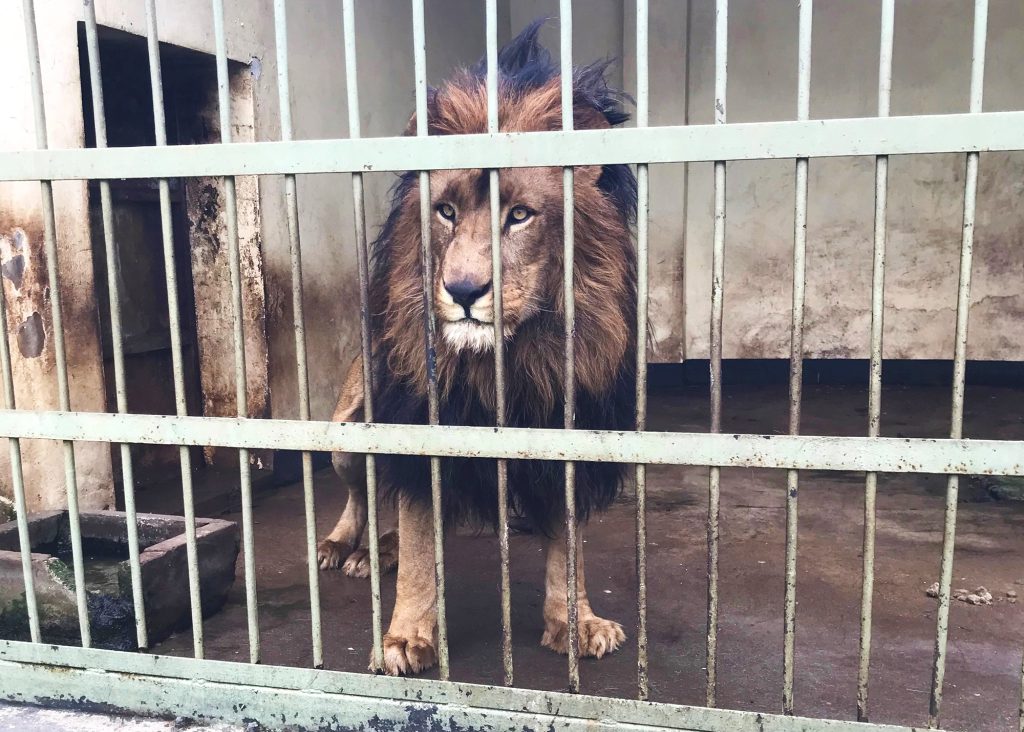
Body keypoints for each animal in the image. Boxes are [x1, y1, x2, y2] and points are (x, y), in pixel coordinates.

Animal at [319, 21, 638, 675]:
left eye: (519, 215)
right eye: (445, 211)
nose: (463, 291)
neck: (509, 362)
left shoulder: (564, 434)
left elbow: (568, 546)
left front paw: (576, 623)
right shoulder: (420, 427)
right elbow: (420, 548)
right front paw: (404, 639)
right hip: (345, 431)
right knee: (364, 494)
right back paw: (351, 548)